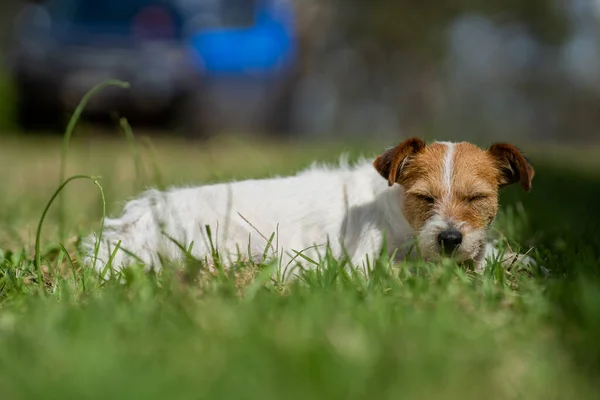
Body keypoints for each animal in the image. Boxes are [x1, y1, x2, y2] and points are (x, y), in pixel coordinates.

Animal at [81, 138, 540, 278]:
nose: (449, 238)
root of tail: (134, 223)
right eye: (424, 198)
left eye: (477, 199)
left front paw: (511, 260)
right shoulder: (364, 261)